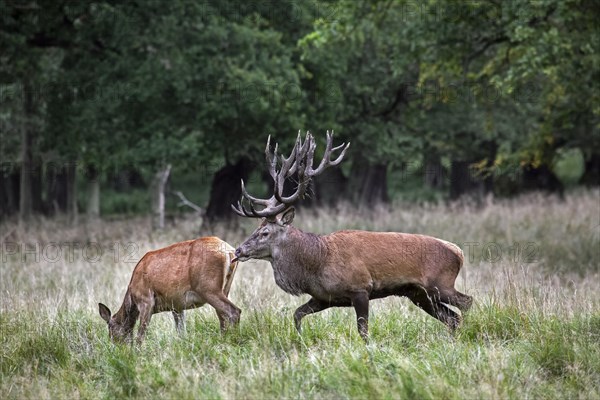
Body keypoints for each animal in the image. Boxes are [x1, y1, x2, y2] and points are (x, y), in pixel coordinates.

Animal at [98, 238, 239, 344]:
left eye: (111, 331)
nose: (117, 347)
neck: (132, 296)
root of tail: (229, 251)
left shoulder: (146, 300)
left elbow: (140, 336)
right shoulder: (177, 306)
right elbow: (181, 333)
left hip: (208, 288)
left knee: (234, 311)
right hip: (225, 288)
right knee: (223, 317)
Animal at [232, 131, 472, 340]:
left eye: (265, 232)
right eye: (255, 229)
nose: (238, 250)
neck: (317, 263)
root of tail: (458, 251)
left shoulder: (360, 287)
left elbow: (363, 330)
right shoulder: (323, 297)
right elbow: (297, 314)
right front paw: (300, 338)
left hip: (440, 283)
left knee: (466, 302)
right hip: (419, 294)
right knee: (452, 318)